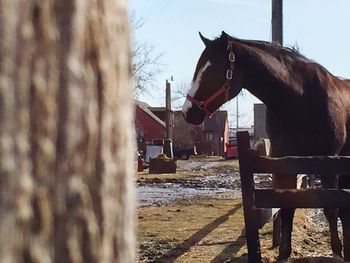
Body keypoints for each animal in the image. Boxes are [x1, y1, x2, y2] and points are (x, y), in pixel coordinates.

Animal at [182, 31, 350, 262]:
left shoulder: (328, 164)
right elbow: (287, 207)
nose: (187, 112)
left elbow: (331, 207)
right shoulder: (286, 164)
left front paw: (336, 251)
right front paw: (284, 253)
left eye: (212, 70)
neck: (300, 98)